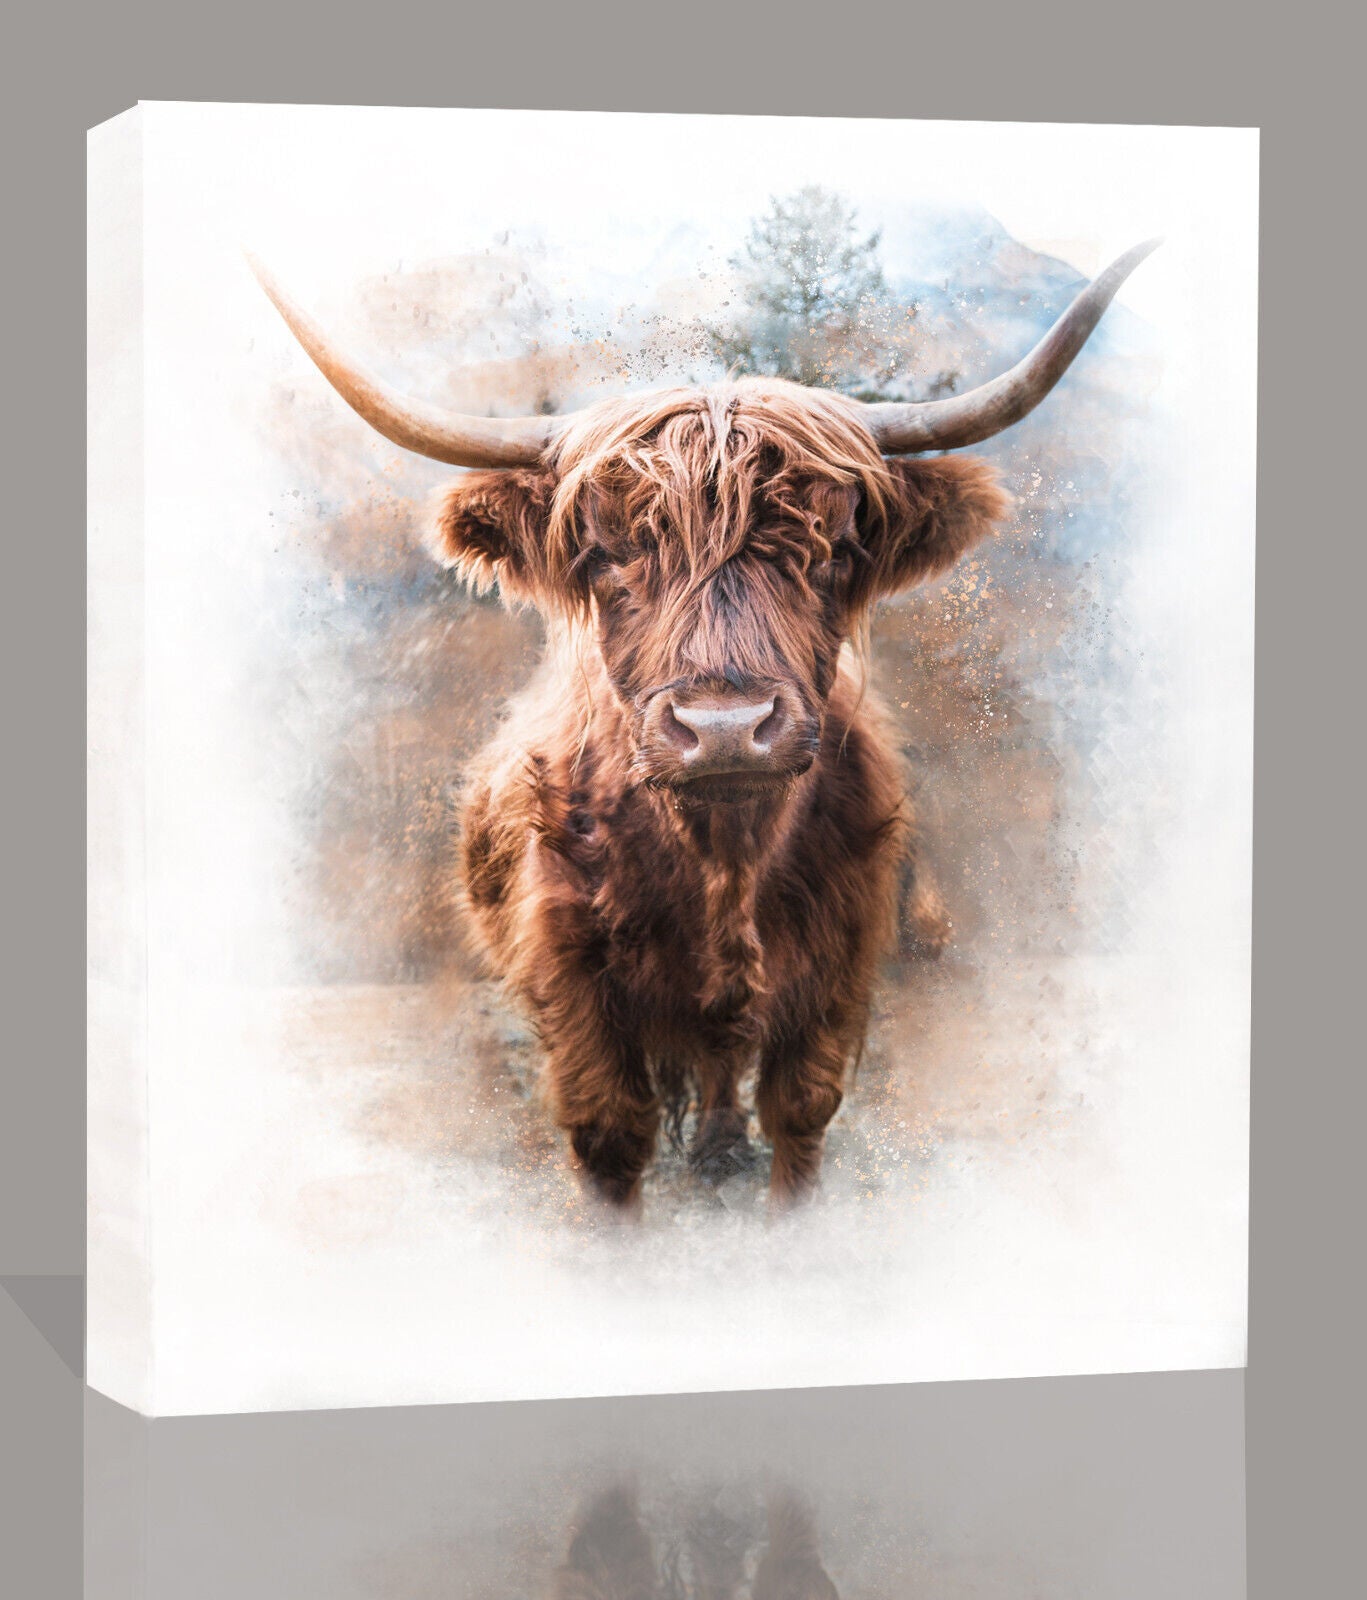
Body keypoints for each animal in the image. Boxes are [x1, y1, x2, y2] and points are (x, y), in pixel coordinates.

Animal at [250, 238, 1157, 1213]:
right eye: (604, 554)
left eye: (835, 550)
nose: (725, 727)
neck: (723, 857)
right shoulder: (571, 981)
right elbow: (609, 1133)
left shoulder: (840, 968)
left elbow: (799, 1113)